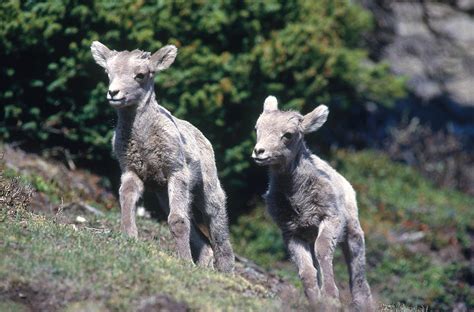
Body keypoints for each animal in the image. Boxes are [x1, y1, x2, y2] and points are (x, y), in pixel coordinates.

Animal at [90, 42, 234, 272]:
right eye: (108, 72)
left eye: (140, 75)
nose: (114, 93)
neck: (144, 138)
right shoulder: (132, 172)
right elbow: (127, 203)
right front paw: (130, 238)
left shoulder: (176, 172)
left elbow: (177, 221)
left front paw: (184, 262)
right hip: (164, 194)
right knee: (202, 238)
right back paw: (204, 265)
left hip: (208, 191)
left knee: (217, 227)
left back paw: (225, 270)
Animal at [252, 95, 374, 310]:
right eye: (257, 128)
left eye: (288, 135)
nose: (259, 152)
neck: (298, 200)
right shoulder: (292, 233)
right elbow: (307, 270)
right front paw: (315, 301)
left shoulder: (330, 219)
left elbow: (323, 251)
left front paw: (331, 297)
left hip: (353, 233)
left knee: (358, 274)